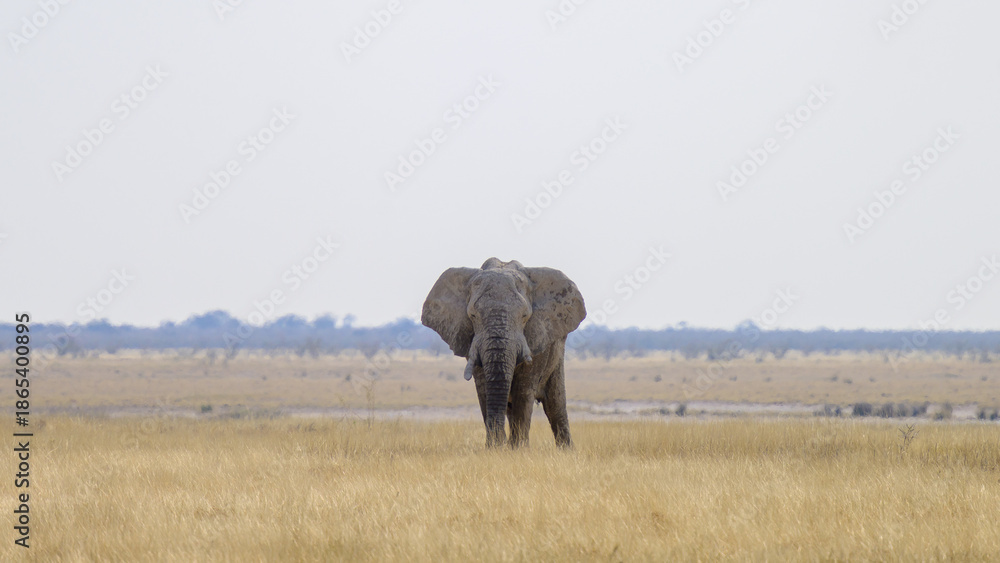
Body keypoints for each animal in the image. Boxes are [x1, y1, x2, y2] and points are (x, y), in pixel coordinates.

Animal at [421, 258, 586, 448]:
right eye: (472, 315)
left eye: (525, 316)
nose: (499, 443)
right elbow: (484, 389)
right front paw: (495, 448)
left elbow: (523, 389)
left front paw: (518, 450)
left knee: (555, 404)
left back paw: (566, 450)